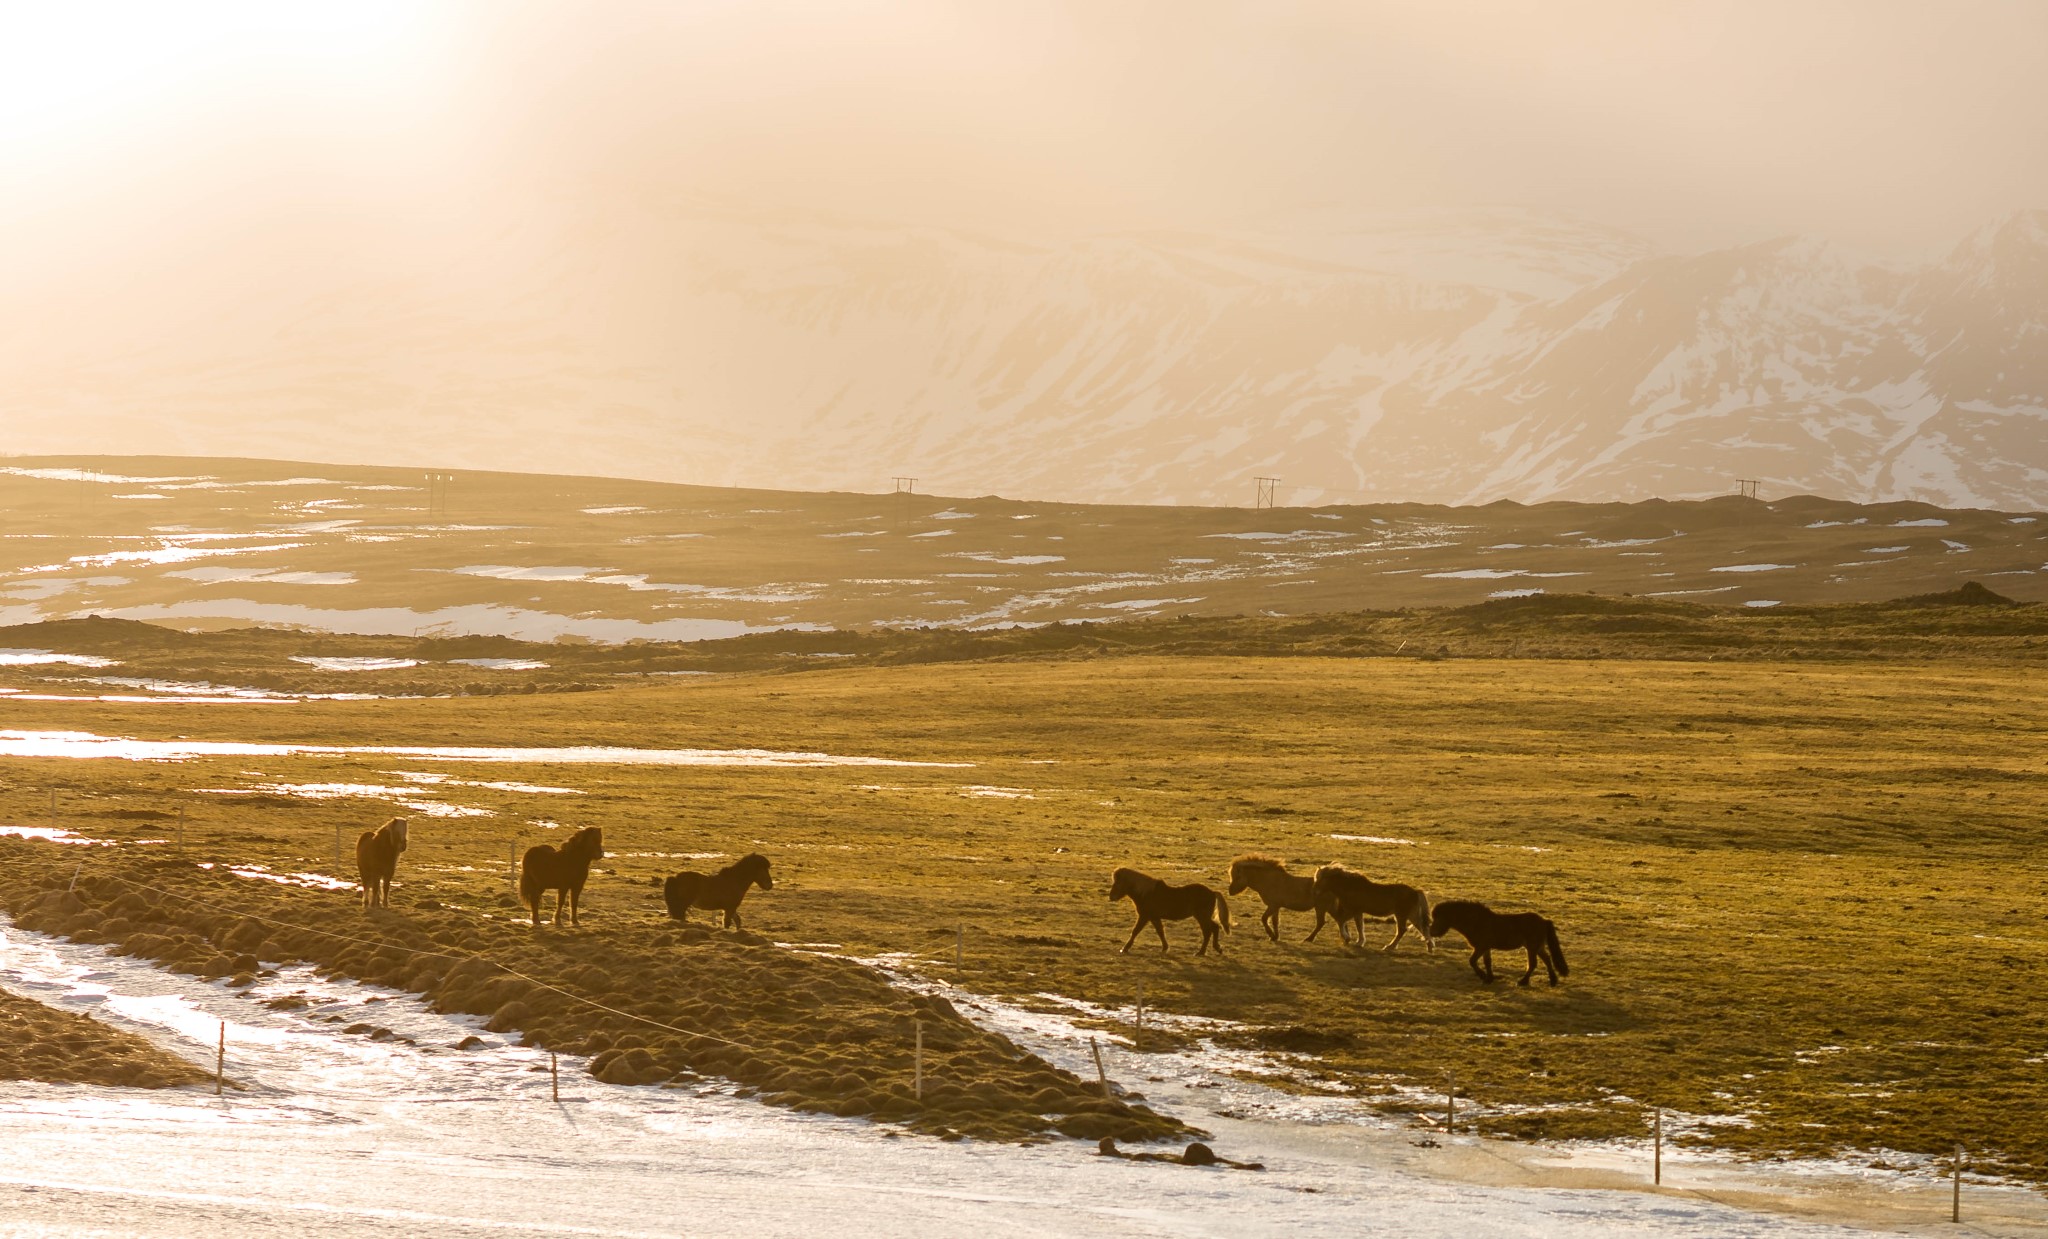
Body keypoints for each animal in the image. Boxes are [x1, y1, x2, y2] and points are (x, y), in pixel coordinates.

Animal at [1302, 864, 1433, 950]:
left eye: (1320, 879)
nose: (1314, 891)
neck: (1350, 887)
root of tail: (1415, 892)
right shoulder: (1357, 912)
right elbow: (1359, 926)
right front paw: (1359, 942)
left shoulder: (1353, 910)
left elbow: (1342, 921)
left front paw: (1348, 939)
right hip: (1411, 916)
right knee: (1423, 928)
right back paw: (1429, 947)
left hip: (1401, 915)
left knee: (1402, 930)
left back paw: (1389, 947)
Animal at [1425, 896, 1564, 987]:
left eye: (1439, 918)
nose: (1431, 932)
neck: (1476, 922)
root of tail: (1544, 921)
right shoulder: (1486, 948)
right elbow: (1487, 962)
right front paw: (1489, 978)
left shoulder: (1481, 947)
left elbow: (1472, 961)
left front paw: (1483, 976)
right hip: (1537, 947)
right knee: (1547, 959)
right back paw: (1553, 981)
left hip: (1531, 947)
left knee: (1533, 964)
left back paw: (1523, 982)